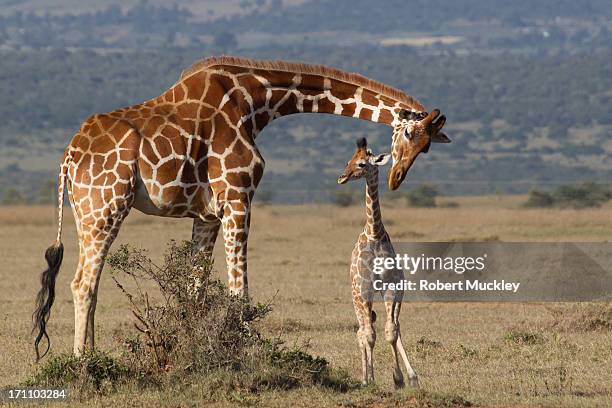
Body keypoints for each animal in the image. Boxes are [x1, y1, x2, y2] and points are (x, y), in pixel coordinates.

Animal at [32, 55, 450, 358]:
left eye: (426, 147)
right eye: (407, 134)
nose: (397, 178)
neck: (256, 103)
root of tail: (69, 157)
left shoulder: (206, 213)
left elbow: (196, 289)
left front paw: (196, 352)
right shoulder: (238, 194)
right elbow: (239, 291)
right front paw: (246, 352)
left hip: (87, 211)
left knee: (89, 282)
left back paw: (92, 355)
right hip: (106, 206)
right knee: (82, 282)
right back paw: (83, 363)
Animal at [338, 138, 418, 388]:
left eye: (362, 164)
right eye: (349, 160)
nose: (341, 177)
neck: (374, 233)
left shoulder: (393, 286)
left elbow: (391, 331)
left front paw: (401, 378)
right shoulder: (365, 290)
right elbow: (370, 335)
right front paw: (371, 379)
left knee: (389, 327)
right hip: (356, 296)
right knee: (362, 331)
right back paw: (365, 378)